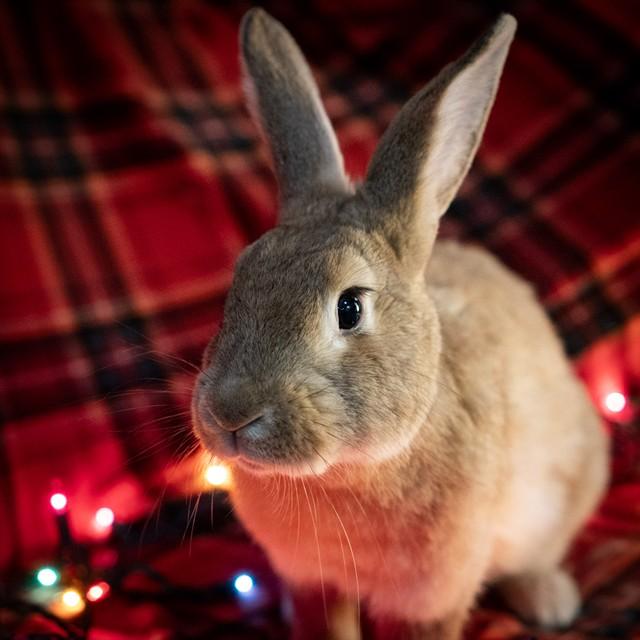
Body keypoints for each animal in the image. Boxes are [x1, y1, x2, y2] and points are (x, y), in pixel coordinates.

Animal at [191, 8, 610, 640]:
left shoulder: (432, 596)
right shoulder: (312, 582)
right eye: (238, 282)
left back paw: (550, 600)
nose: (231, 413)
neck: (344, 473)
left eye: (350, 307)